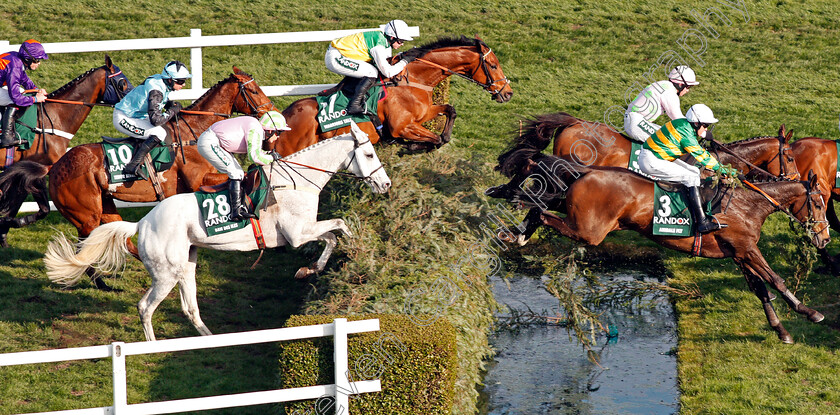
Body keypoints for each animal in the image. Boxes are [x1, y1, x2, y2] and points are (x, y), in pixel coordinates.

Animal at [42, 122, 390, 342]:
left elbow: (331, 235)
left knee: (190, 308)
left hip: (187, 264)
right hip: (165, 273)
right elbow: (338, 226)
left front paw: (314, 267)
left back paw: (210, 340)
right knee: (145, 307)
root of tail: (142, 223)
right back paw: (153, 346)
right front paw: (346, 254)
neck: (296, 181)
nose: (385, 184)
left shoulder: (301, 232)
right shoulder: (296, 233)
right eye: (369, 154)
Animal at [276, 35, 512, 155]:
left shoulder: (423, 114)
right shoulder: (402, 127)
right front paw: (411, 147)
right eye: (493, 65)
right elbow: (434, 139)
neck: (413, 79)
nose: (508, 93)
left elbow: (449, 114)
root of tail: (282, 119)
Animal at [496, 146, 832, 344]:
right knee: (542, 211)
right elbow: (776, 280)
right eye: (818, 203)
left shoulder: (738, 253)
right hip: (589, 231)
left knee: (543, 202)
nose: (825, 237)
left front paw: (781, 330)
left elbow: (761, 288)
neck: (747, 203)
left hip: (578, 213)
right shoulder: (747, 249)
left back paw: (516, 228)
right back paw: (517, 230)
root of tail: (588, 170)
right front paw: (809, 312)